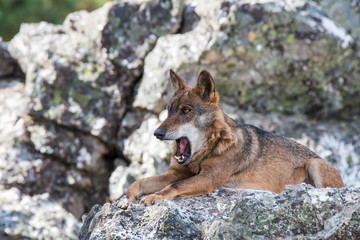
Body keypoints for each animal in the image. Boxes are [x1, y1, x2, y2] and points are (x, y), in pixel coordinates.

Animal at [126, 69, 344, 204]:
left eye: (186, 110)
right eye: (169, 110)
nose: (157, 133)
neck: (206, 151)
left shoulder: (208, 179)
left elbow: (173, 186)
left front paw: (154, 198)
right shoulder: (175, 173)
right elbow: (139, 182)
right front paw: (130, 199)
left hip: (315, 164)